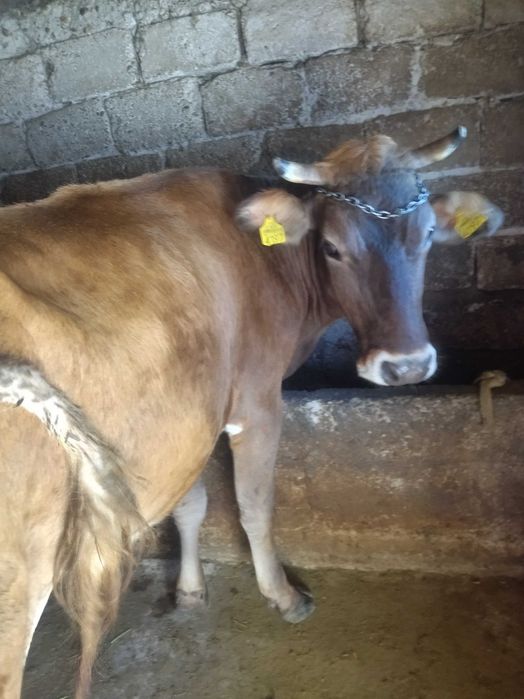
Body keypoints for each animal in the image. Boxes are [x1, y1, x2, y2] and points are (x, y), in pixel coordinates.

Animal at [0, 127, 504, 698]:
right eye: (332, 247)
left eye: (427, 235)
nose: (406, 366)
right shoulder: (257, 400)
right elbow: (255, 505)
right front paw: (283, 595)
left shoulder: (186, 419)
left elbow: (191, 506)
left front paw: (189, 591)